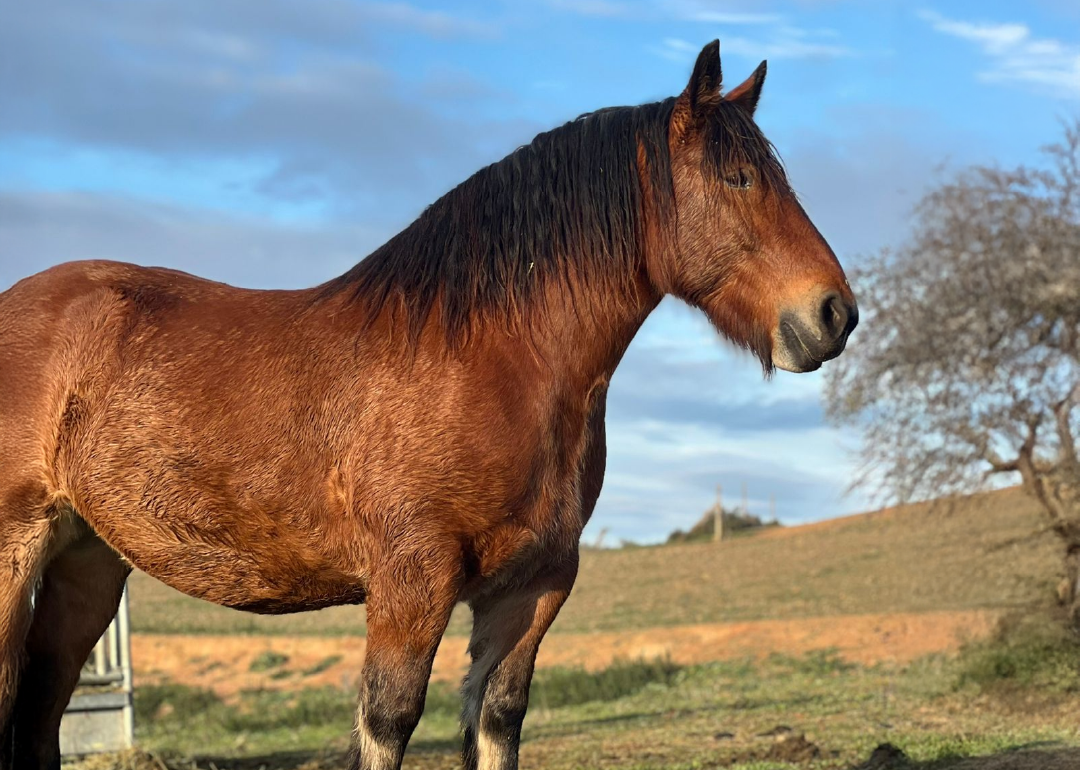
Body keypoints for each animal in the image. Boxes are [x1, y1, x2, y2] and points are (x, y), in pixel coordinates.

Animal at [0, 40, 856, 770]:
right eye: (738, 179)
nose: (834, 314)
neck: (489, 360)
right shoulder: (412, 584)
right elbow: (388, 724)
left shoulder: (531, 589)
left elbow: (497, 720)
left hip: (87, 560)